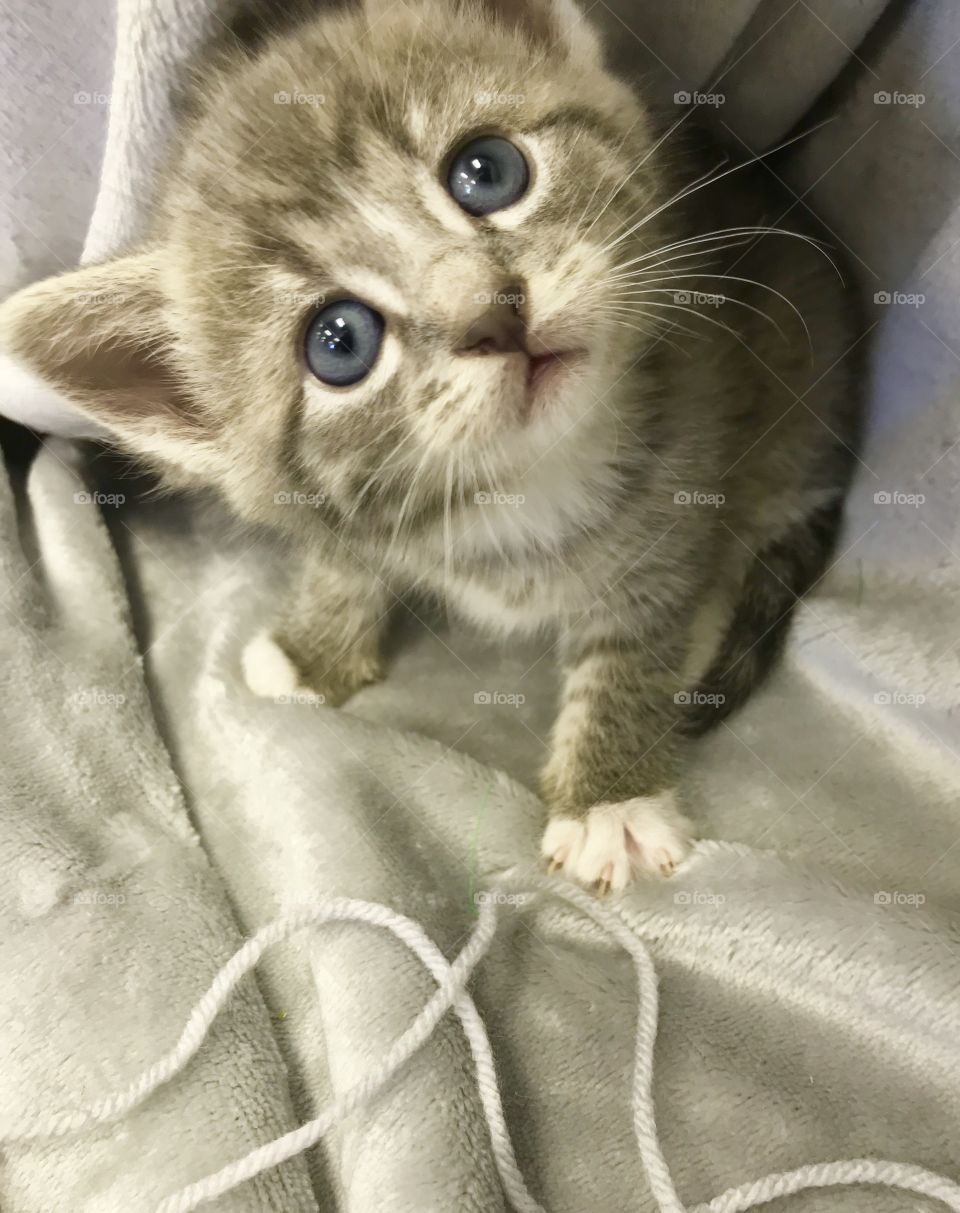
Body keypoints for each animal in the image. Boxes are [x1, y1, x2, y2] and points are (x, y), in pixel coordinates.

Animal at [0, 0, 854, 892]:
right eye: (339, 341)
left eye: (487, 170)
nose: (494, 313)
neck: (521, 479)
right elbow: (346, 551)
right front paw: (316, 646)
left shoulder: (681, 485)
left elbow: (637, 635)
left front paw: (609, 796)